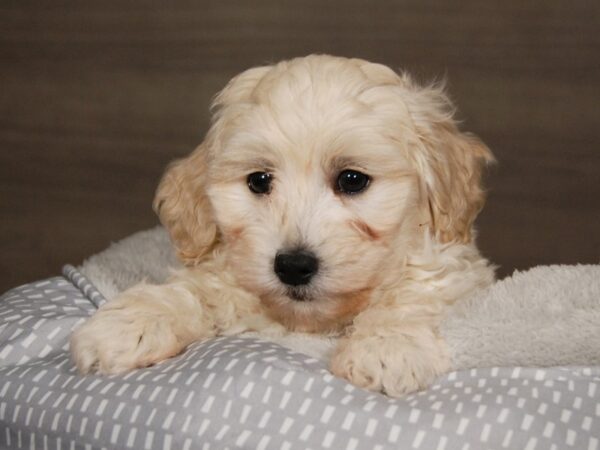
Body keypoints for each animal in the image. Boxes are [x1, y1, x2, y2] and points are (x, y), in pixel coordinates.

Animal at [70, 54, 494, 396]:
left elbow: (414, 294)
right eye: (259, 181)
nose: (293, 266)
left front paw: (385, 346)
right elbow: (198, 290)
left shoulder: (453, 270)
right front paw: (133, 322)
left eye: (352, 180)